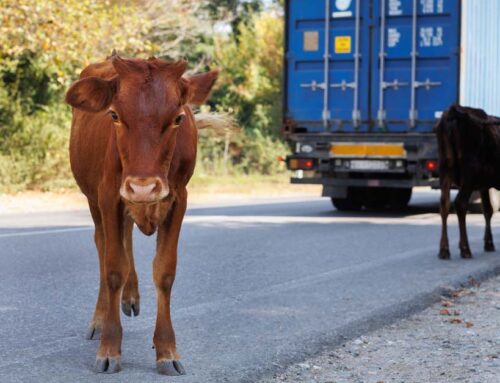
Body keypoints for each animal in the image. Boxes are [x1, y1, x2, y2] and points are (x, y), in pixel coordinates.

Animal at [64, 54, 217, 376]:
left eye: (178, 118)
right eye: (114, 115)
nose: (143, 188)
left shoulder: (178, 199)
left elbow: (165, 272)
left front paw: (167, 350)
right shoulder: (109, 195)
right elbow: (113, 269)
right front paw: (109, 347)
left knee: (125, 238)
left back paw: (131, 297)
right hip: (96, 201)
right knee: (104, 246)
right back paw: (101, 317)